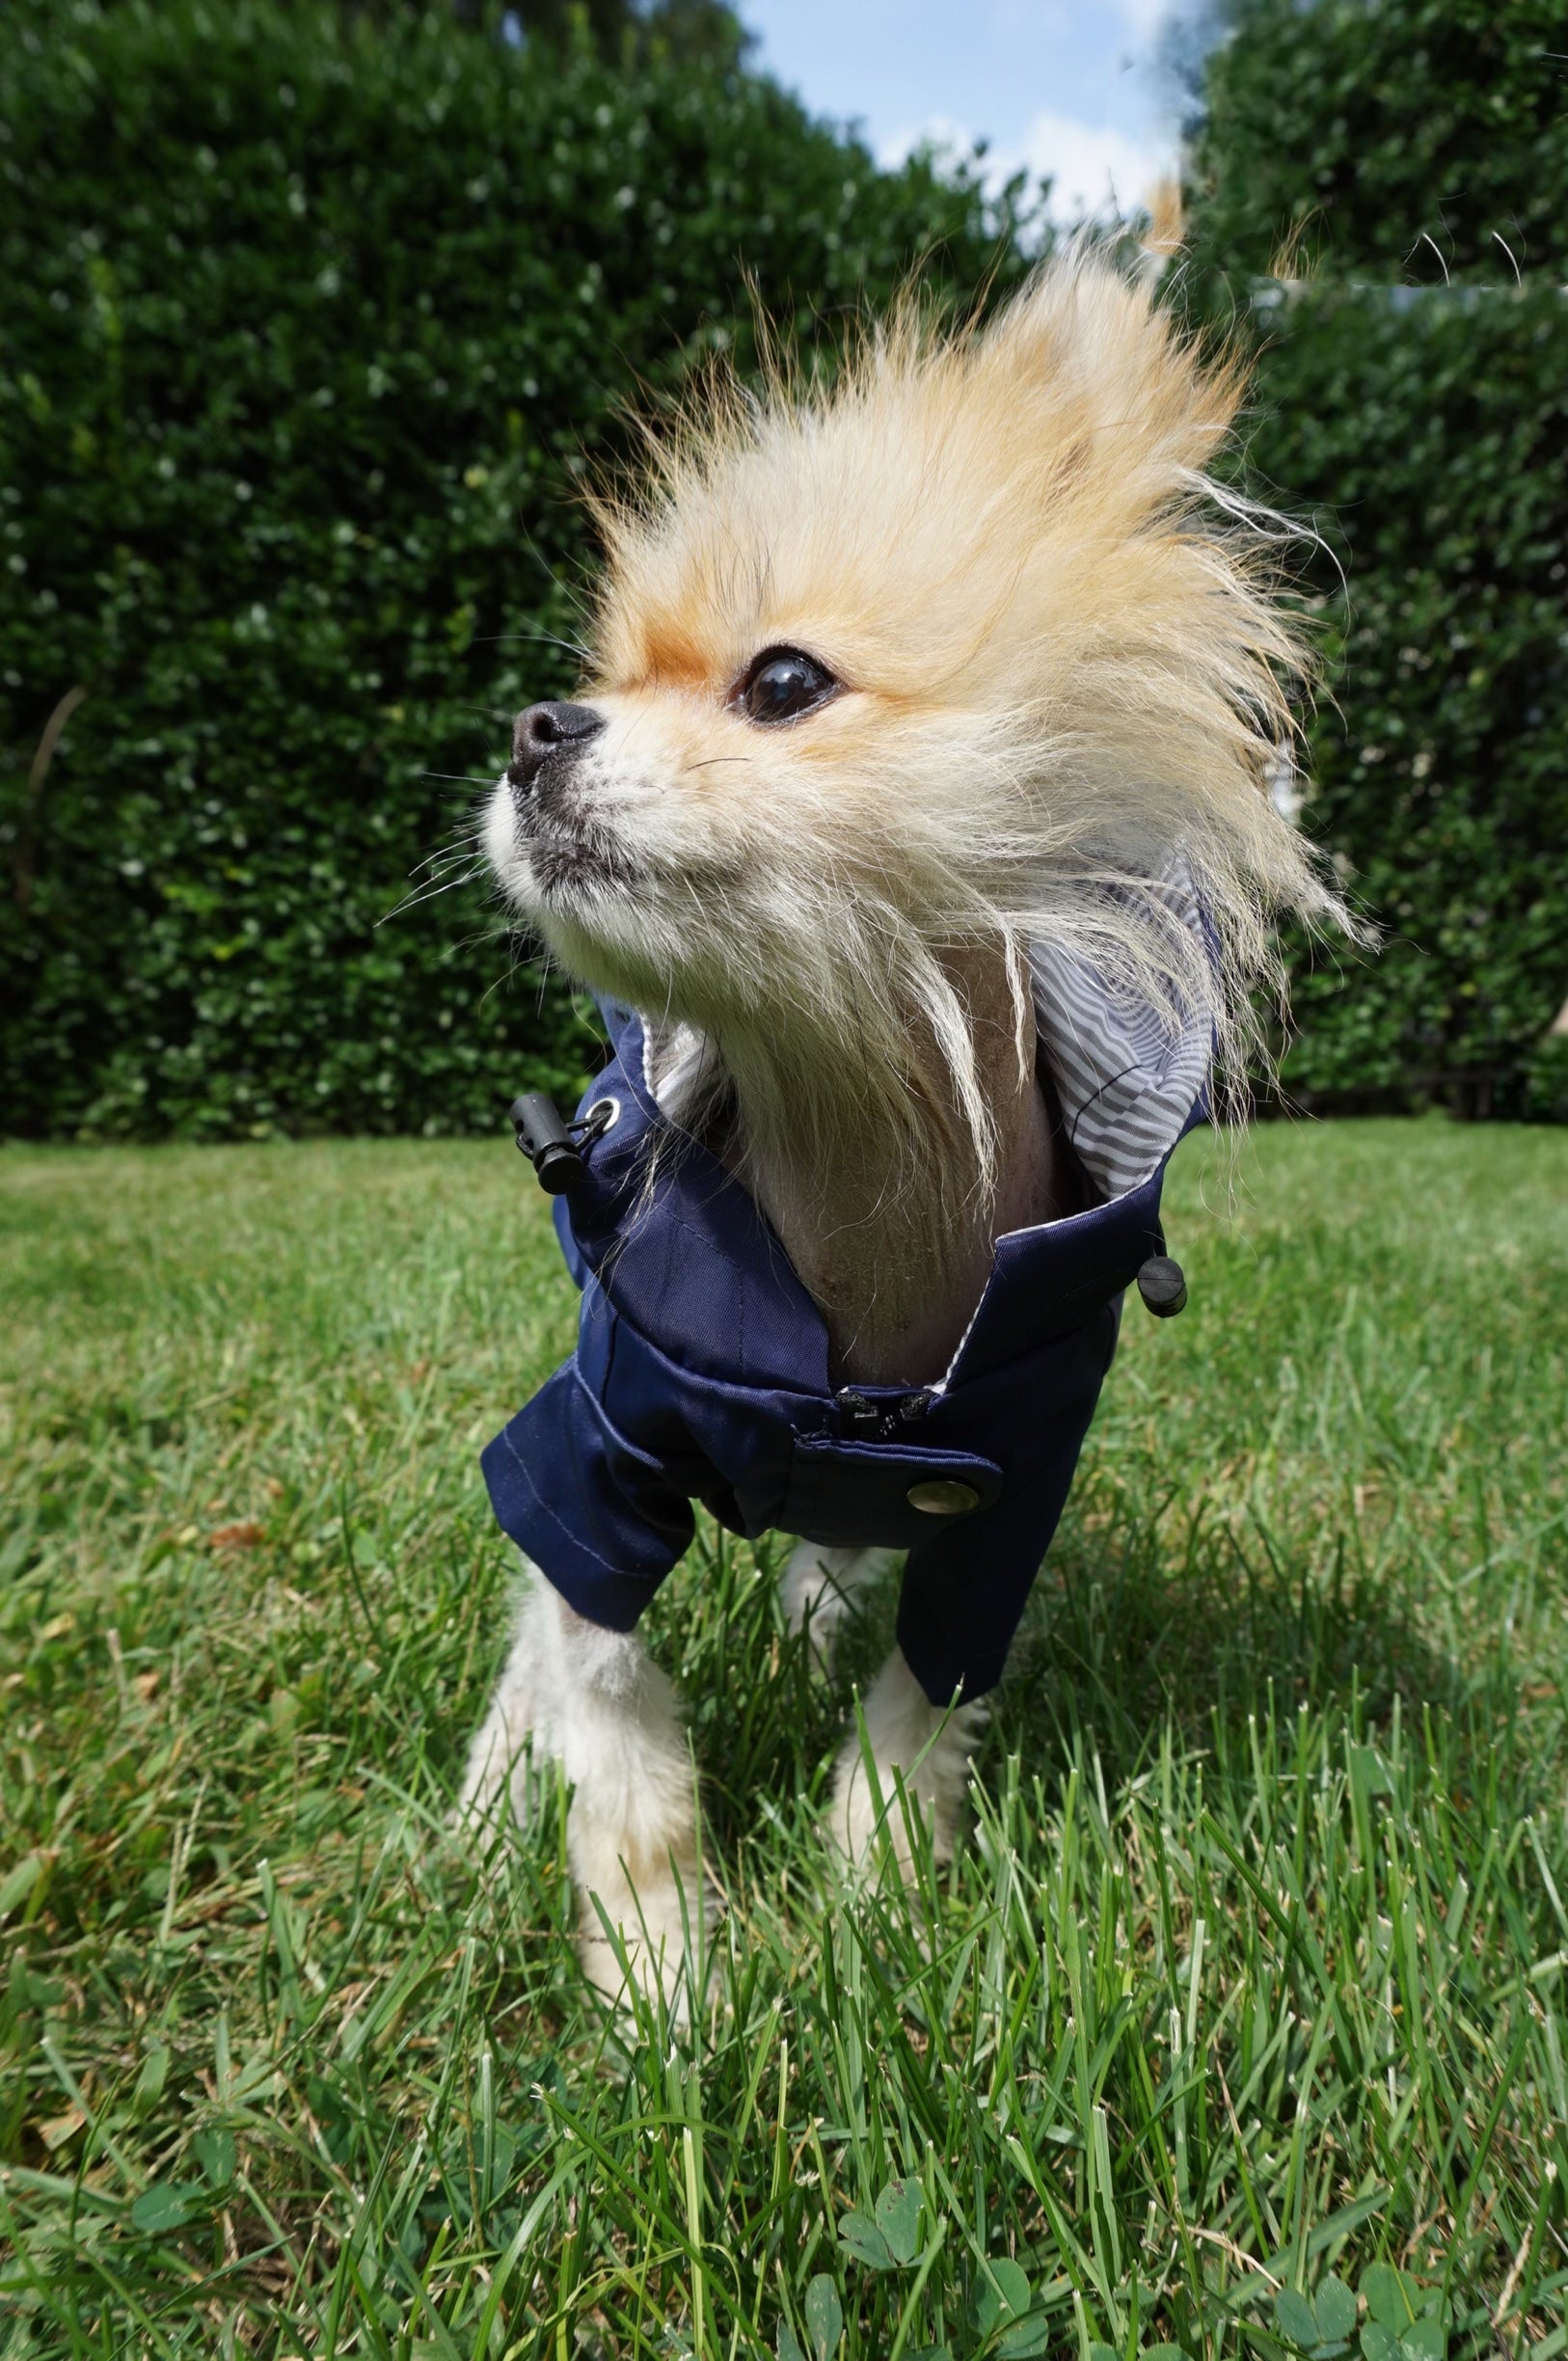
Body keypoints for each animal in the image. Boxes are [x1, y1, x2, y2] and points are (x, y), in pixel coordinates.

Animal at [460, 254, 1340, 1993]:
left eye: (784, 681)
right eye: (593, 685)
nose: (536, 727)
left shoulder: (996, 1505)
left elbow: (919, 1704)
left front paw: (875, 1885)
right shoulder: (592, 1457)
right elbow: (608, 1700)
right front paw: (660, 1961)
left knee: (831, 1567)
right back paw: (481, 1805)